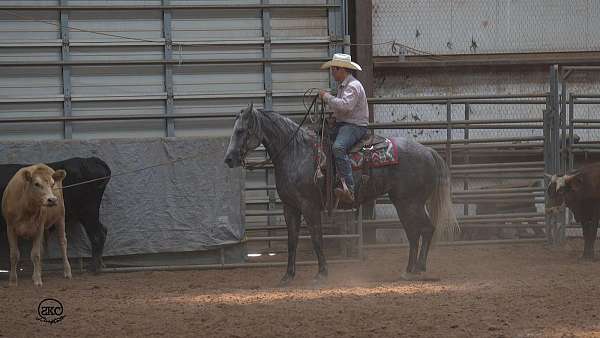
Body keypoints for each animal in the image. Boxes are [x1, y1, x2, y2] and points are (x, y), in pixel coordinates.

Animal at [225, 104, 460, 284]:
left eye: (241, 131)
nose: (229, 159)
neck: (296, 153)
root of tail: (428, 151)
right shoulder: (289, 207)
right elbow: (292, 241)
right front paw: (288, 276)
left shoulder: (309, 206)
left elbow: (316, 239)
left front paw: (321, 273)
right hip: (404, 203)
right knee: (414, 233)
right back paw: (409, 270)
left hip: (410, 203)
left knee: (425, 230)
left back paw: (417, 268)